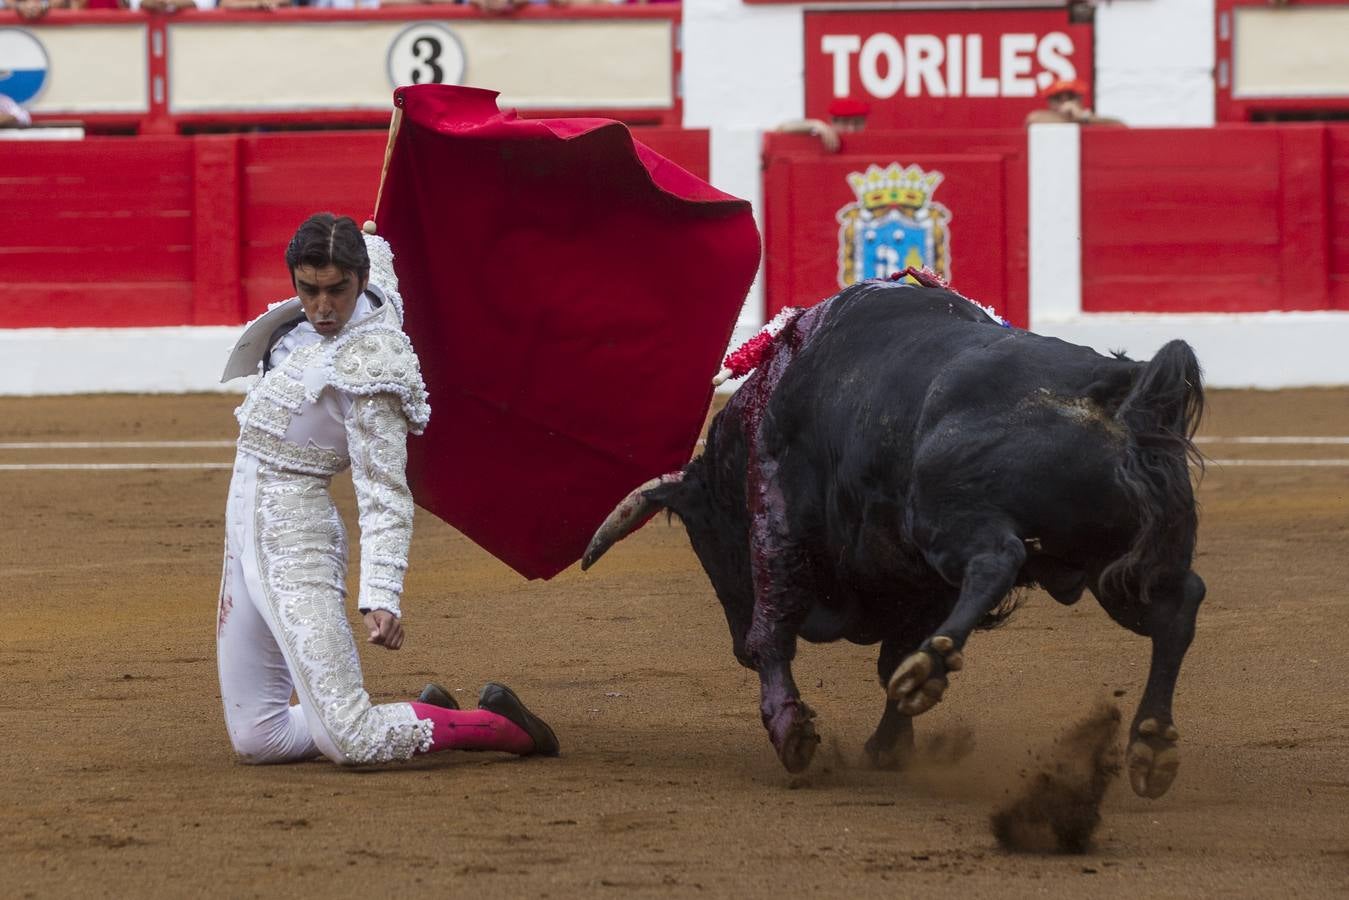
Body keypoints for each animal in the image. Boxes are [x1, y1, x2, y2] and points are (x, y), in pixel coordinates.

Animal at [585, 282, 1208, 804]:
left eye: (708, 542)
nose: (735, 648)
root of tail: (1110, 385)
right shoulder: (918, 582)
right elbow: (888, 659)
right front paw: (888, 745)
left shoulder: (778, 520)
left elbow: (775, 631)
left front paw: (794, 729)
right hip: (1118, 566)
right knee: (1179, 604)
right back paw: (1152, 743)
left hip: (944, 515)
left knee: (996, 561)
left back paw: (930, 670)